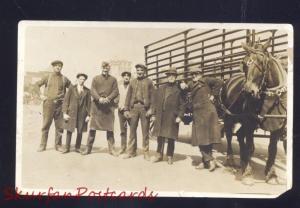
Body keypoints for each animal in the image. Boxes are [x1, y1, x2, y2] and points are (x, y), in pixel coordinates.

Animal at [219, 39, 288, 185]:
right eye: (244, 63)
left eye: (262, 63)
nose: (247, 92)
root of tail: (228, 80)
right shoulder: (250, 123)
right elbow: (250, 145)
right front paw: (248, 173)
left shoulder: (278, 126)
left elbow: (272, 149)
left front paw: (271, 174)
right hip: (229, 117)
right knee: (229, 134)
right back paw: (231, 159)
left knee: (239, 135)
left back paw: (243, 160)